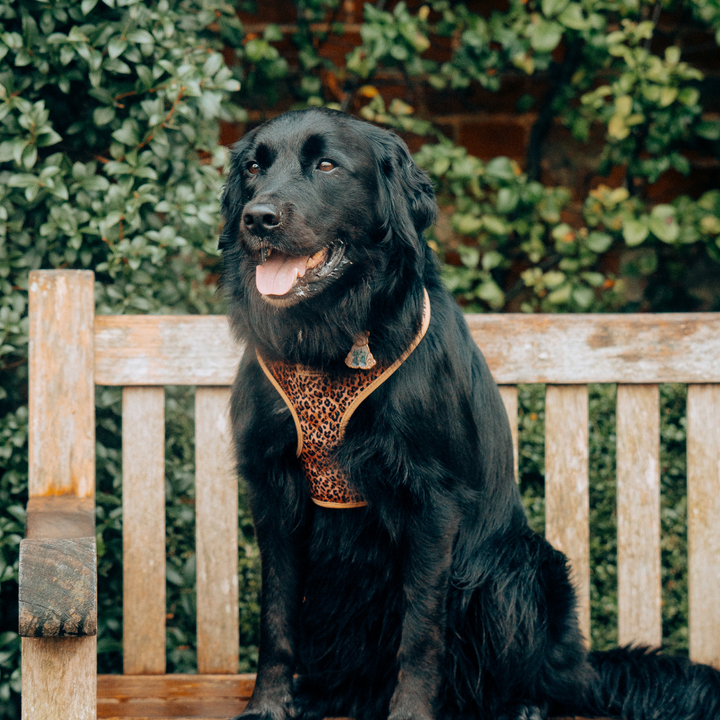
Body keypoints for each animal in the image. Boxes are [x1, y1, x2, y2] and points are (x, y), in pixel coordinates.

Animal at [219, 108, 720, 720]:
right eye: (253, 167)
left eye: (327, 165)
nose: (258, 218)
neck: (330, 342)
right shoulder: (273, 489)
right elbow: (275, 617)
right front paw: (268, 705)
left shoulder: (433, 500)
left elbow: (420, 629)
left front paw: (410, 713)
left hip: (516, 570)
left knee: (552, 680)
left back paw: (524, 705)